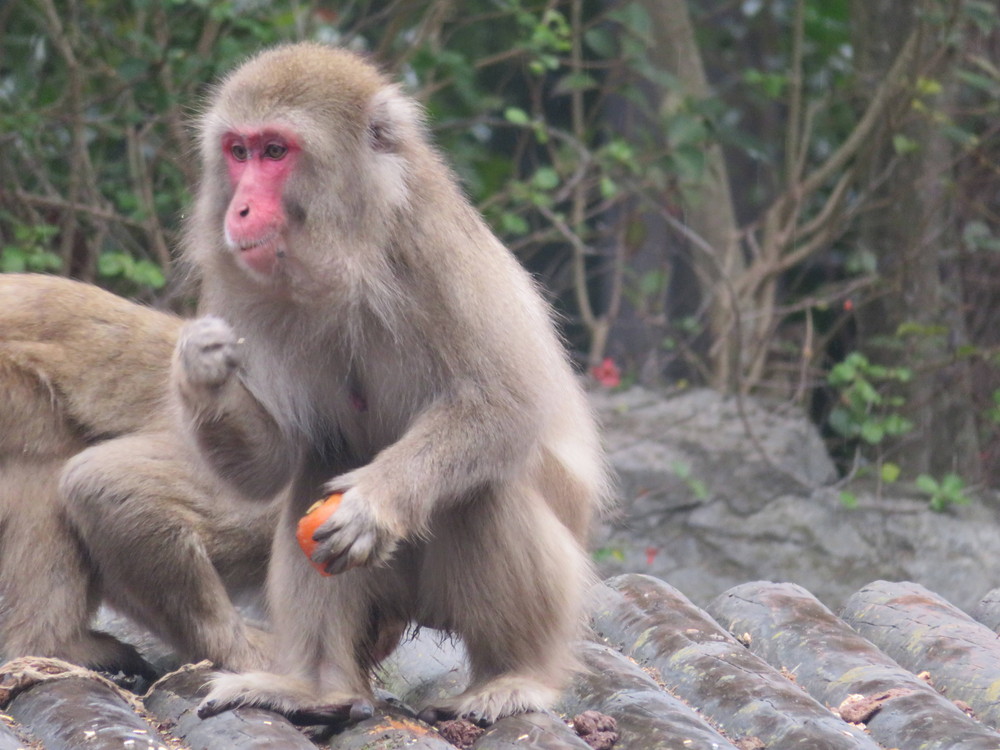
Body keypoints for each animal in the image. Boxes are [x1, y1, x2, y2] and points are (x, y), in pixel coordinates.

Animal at [136, 42, 608, 728]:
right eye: (238, 151)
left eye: (275, 151)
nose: (239, 208)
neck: (350, 251)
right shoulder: (236, 289)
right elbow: (274, 465)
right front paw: (200, 369)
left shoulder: (433, 245)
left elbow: (508, 405)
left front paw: (374, 503)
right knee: (321, 459)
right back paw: (318, 687)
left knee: (483, 489)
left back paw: (514, 675)